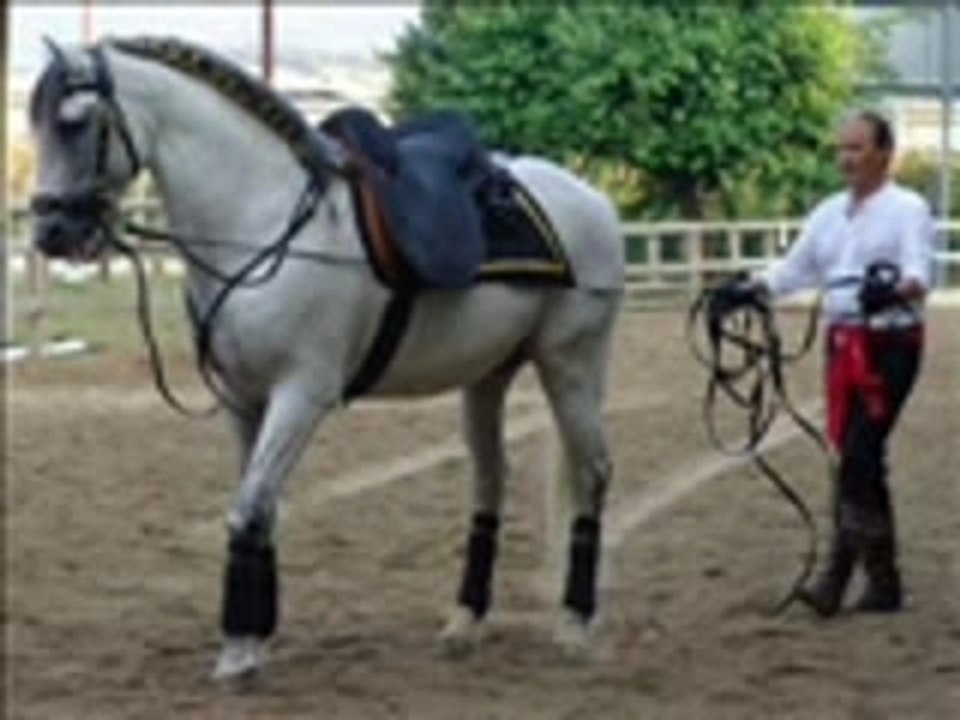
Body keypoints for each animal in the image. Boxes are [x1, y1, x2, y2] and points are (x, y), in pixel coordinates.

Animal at [28, 36, 625, 681]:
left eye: (76, 122)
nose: (50, 231)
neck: (265, 220)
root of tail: (593, 200)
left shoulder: (301, 395)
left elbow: (249, 509)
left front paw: (237, 652)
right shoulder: (243, 400)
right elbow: (260, 508)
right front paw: (256, 637)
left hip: (571, 364)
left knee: (592, 472)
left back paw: (574, 624)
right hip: (488, 376)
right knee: (491, 480)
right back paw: (465, 621)